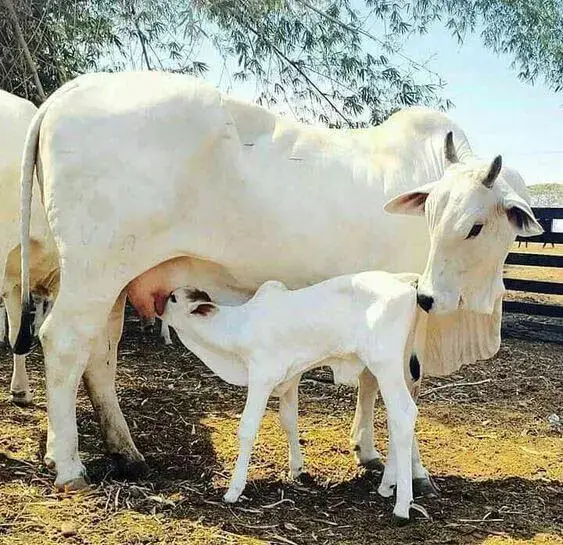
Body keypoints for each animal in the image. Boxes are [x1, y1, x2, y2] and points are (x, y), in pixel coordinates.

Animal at [14, 71, 540, 488]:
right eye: (432, 215)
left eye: (475, 225)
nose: (432, 295)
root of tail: (67, 93)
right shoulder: (410, 315)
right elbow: (403, 387)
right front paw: (413, 471)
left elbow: (370, 382)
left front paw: (367, 451)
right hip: (93, 272)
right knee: (63, 343)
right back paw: (68, 465)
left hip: (112, 281)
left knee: (100, 356)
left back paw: (126, 452)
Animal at [163, 272, 424, 520]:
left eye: (173, 298)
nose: (159, 304)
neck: (237, 327)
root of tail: (407, 286)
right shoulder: (290, 379)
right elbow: (288, 421)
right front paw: (296, 469)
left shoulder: (262, 376)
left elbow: (247, 429)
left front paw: (234, 490)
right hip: (398, 366)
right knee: (396, 418)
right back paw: (387, 485)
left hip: (384, 364)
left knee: (404, 413)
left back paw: (402, 506)